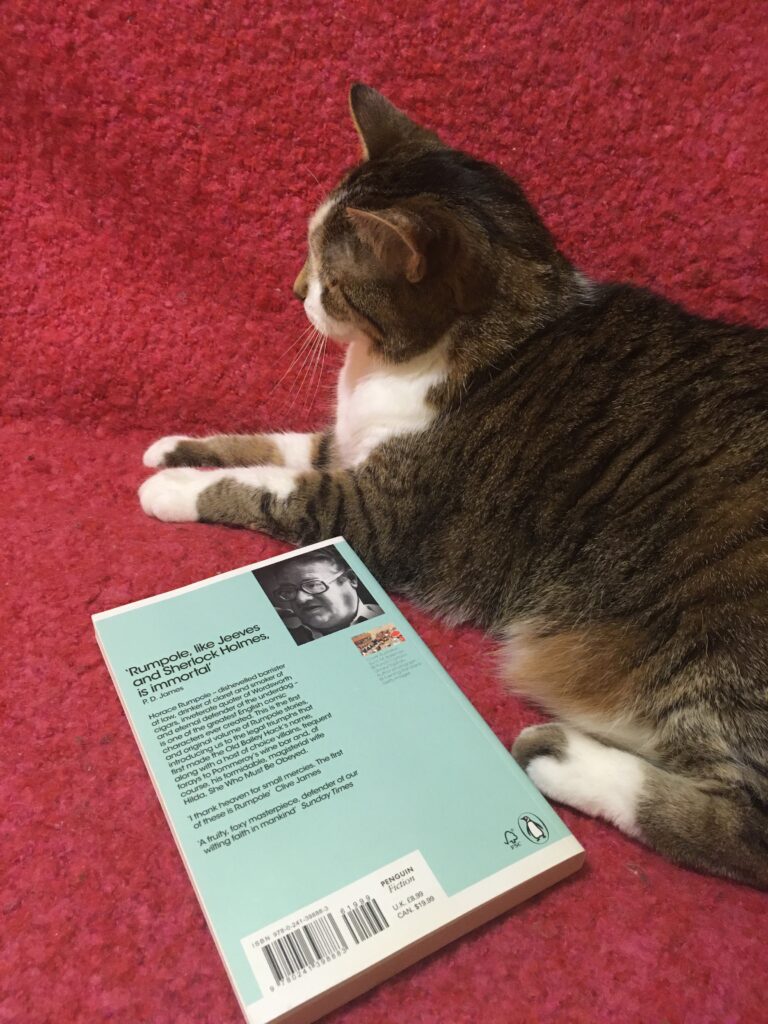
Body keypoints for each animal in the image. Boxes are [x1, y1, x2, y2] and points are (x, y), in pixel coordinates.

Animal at [141, 88, 768, 888]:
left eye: (328, 277)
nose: (291, 291)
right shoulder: (343, 443)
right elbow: (269, 447)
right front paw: (171, 448)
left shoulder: (368, 513)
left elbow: (268, 488)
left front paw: (172, 489)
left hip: (720, 634)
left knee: (743, 830)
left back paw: (559, 758)